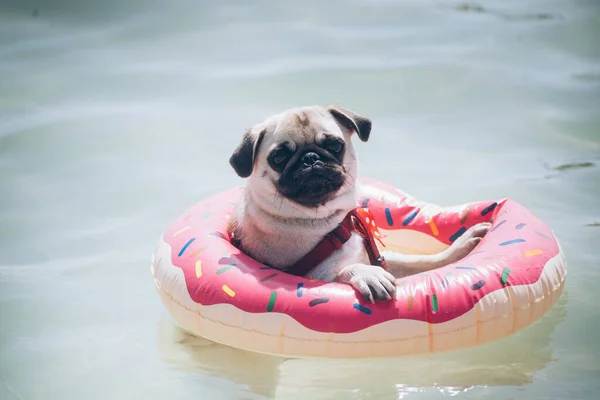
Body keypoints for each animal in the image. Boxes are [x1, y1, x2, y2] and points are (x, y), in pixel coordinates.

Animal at [227, 104, 490, 302]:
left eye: (335, 145)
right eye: (279, 157)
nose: (310, 159)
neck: (326, 222)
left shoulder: (376, 256)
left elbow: (417, 262)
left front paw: (459, 248)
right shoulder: (313, 275)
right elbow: (344, 271)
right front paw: (367, 275)